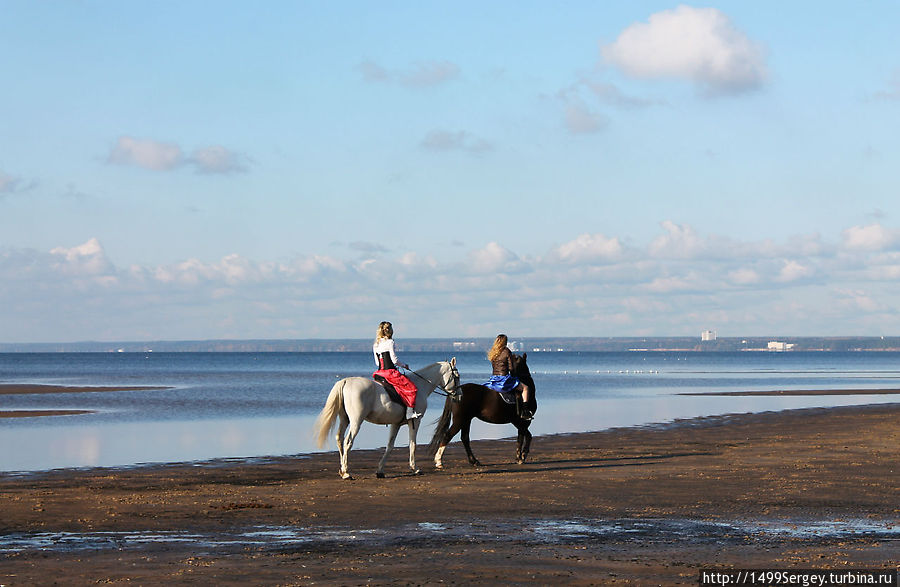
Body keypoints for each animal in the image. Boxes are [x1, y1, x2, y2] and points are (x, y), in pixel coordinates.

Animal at [314, 360, 458, 480]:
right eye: (456, 376)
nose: (458, 394)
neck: (421, 384)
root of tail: (345, 381)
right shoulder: (415, 422)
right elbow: (412, 444)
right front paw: (415, 468)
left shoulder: (396, 424)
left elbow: (390, 446)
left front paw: (380, 470)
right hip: (356, 421)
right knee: (348, 441)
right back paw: (346, 473)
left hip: (345, 419)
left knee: (339, 438)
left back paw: (342, 469)